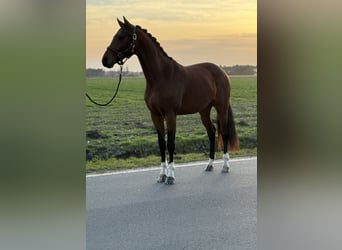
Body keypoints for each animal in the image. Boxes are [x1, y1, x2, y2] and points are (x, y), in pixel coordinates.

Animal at [103, 17, 239, 184]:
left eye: (121, 37)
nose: (105, 60)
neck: (162, 76)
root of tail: (222, 72)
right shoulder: (155, 115)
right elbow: (162, 144)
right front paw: (162, 175)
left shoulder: (170, 114)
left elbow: (171, 143)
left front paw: (171, 176)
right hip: (204, 110)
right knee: (212, 132)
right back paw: (209, 164)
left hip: (221, 107)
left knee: (224, 132)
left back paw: (225, 166)